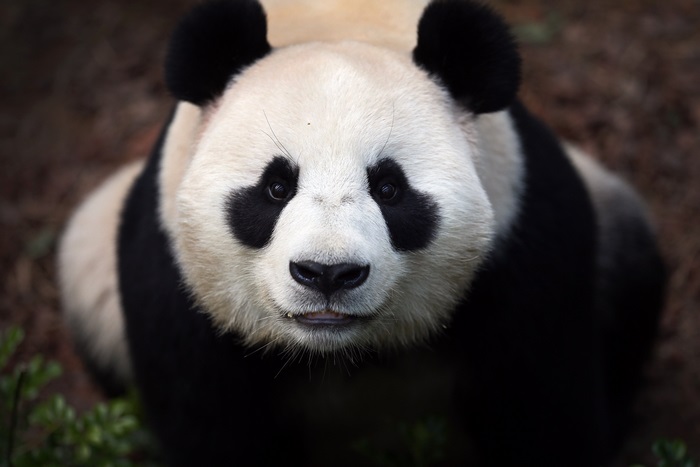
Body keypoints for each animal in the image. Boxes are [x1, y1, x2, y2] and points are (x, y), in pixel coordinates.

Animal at [58, 0, 666, 466]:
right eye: (275, 187)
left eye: (390, 188)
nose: (328, 273)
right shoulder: (173, 284)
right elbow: (211, 425)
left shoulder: (524, 245)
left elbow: (543, 410)